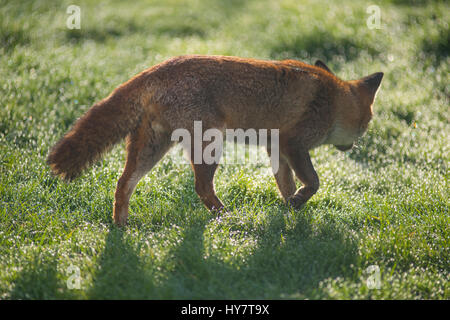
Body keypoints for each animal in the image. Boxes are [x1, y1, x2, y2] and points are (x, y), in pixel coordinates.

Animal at [47, 55, 382, 225]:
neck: (332, 97)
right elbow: (313, 182)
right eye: (367, 124)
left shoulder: (276, 148)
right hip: (209, 146)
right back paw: (225, 216)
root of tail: (158, 68)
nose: (353, 145)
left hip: (153, 147)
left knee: (123, 184)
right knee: (201, 187)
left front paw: (291, 210)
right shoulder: (294, 142)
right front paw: (299, 202)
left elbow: (285, 184)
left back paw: (120, 228)